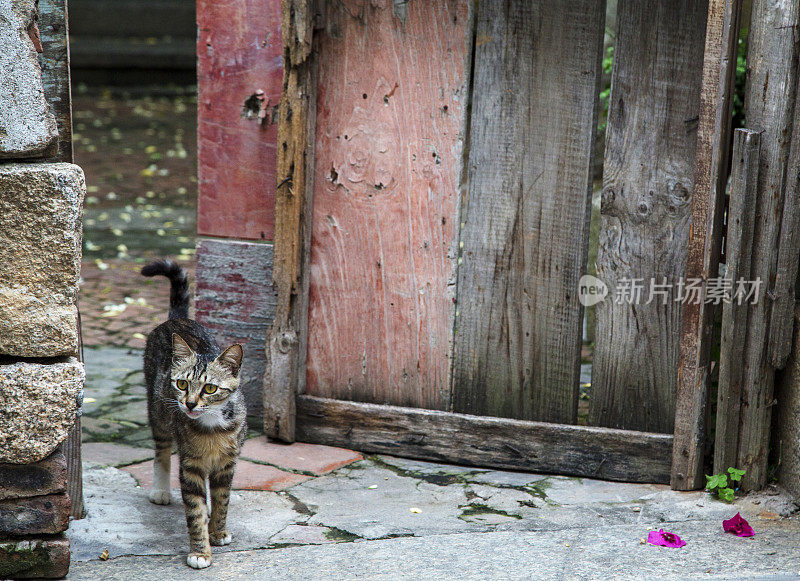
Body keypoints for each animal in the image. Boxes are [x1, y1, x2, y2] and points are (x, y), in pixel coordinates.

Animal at [142, 258, 245, 568]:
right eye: (182, 384)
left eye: (210, 388)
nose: (188, 404)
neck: (212, 426)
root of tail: (176, 319)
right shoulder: (191, 466)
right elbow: (194, 509)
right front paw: (200, 550)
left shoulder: (227, 464)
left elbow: (222, 499)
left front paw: (218, 531)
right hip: (158, 412)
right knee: (162, 448)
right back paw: (161, 489)